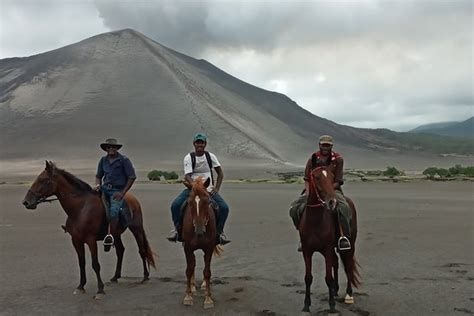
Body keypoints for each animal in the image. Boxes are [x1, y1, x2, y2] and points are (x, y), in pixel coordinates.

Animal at [22, 163, 156, 298]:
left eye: (42, 180)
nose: (26, 202)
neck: (80, 209)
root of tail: (133, 198)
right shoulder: (76, 240)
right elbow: (82, 262)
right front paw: (81, 286)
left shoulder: (91, 240)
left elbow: (95, 264)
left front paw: (100, 290)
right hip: (115, 233)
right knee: (120, 251)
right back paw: (115, 277)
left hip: (136, 229)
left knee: (141, 250)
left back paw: (145, 277)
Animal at [181, 177, 222, 310]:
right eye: (189, 202)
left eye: (207, 201)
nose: (199, 230)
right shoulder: (187, 248)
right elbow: (189, 270)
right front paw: (188, 296)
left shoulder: (209, 248)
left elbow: (207, 272)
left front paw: (208, 299)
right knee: (192, 264)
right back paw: (193, 286)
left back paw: (203, 285)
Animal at [298, 165, 362, 314]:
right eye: (316, 177)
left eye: (332, 177)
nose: (332, 202)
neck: (315, 221)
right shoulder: (307, 251)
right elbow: (308, 278)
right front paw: (306, 305)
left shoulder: (327, 249)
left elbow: (328, 278)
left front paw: (332, 306)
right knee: (336, 262)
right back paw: (335, 290)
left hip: (350, 245)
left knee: (348, 266)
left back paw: (348, 295)